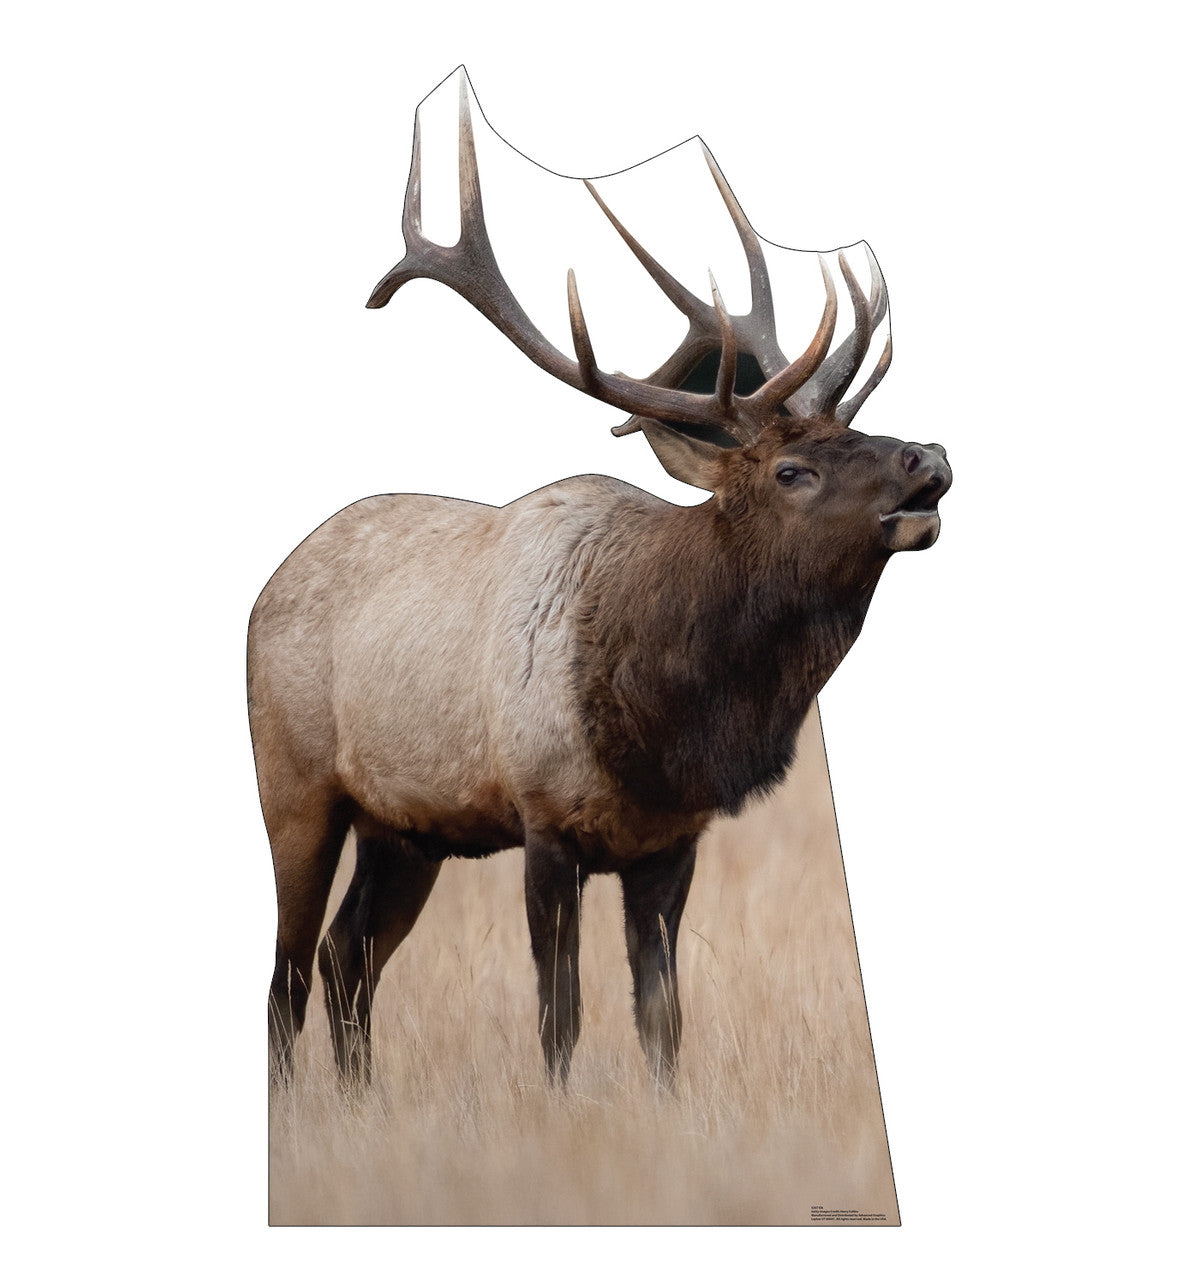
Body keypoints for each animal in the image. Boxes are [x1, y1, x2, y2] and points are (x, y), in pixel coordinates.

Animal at [250, 78, 951, 1091]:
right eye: (792, 471)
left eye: (861, 433)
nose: (927, 456)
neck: (667, 720)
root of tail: (266, 584)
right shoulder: (545, 819)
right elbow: (562, 1016)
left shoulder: (669, 841)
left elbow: (661, 1018)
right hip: (296, 787)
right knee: (290, 974)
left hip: (407, 826)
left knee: (349, 958)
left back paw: (358, 1102)